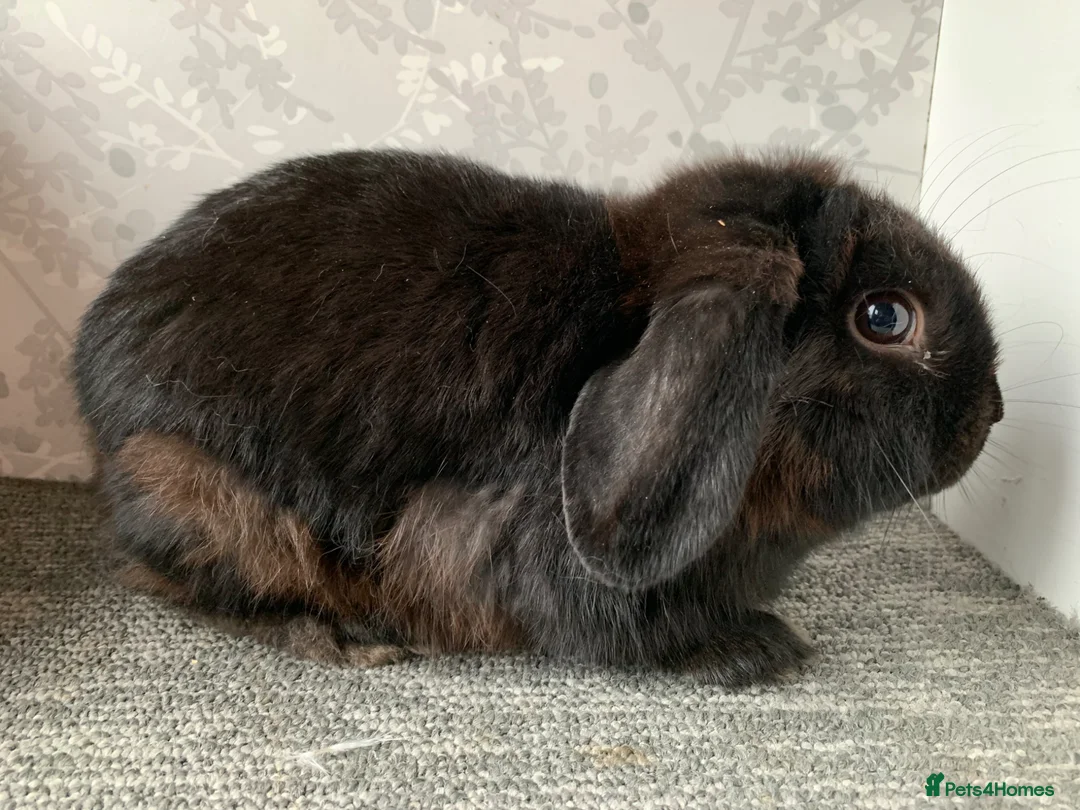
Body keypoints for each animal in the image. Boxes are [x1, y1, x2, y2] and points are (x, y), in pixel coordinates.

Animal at [71, 148, 1002, 687]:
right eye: (884, 317)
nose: (990, 414)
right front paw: (759, 648)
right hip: (199, 492)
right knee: (178, 584)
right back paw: (341, 638)